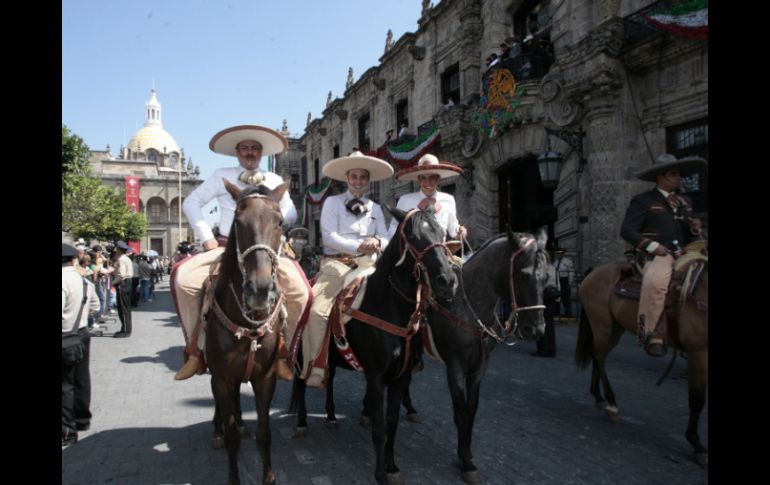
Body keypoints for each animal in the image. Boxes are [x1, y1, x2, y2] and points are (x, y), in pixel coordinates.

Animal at [207, 180, 288, 482]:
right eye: (238, 222)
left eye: (280, 222)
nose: (260, 290)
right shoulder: (222, 377)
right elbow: (232, 438)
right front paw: (233, 477)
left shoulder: (265, 378)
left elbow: (265, 434)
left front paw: (269, 477)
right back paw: (218, 429)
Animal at [288, 206, 456, 482]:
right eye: (413, 236)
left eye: (442, 232)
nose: (448, 280)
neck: (387, 307)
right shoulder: (375, 378)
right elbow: (379, 428)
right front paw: (380, 474)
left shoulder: (400, 378)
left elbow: (392, 424)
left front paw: (392, 466)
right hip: (305, 352)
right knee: (301, 383)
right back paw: (301, 423)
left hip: (331, 355)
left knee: (330, 380)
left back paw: (331, 416)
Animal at [572, 250, 704, 466]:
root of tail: (593, 272)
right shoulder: (698, 352)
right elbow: (697, 399)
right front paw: (697, 445)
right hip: (602, 322)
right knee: (598, 356)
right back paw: (611, 403)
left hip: (614, 326)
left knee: (599, 356)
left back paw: (600, 397)